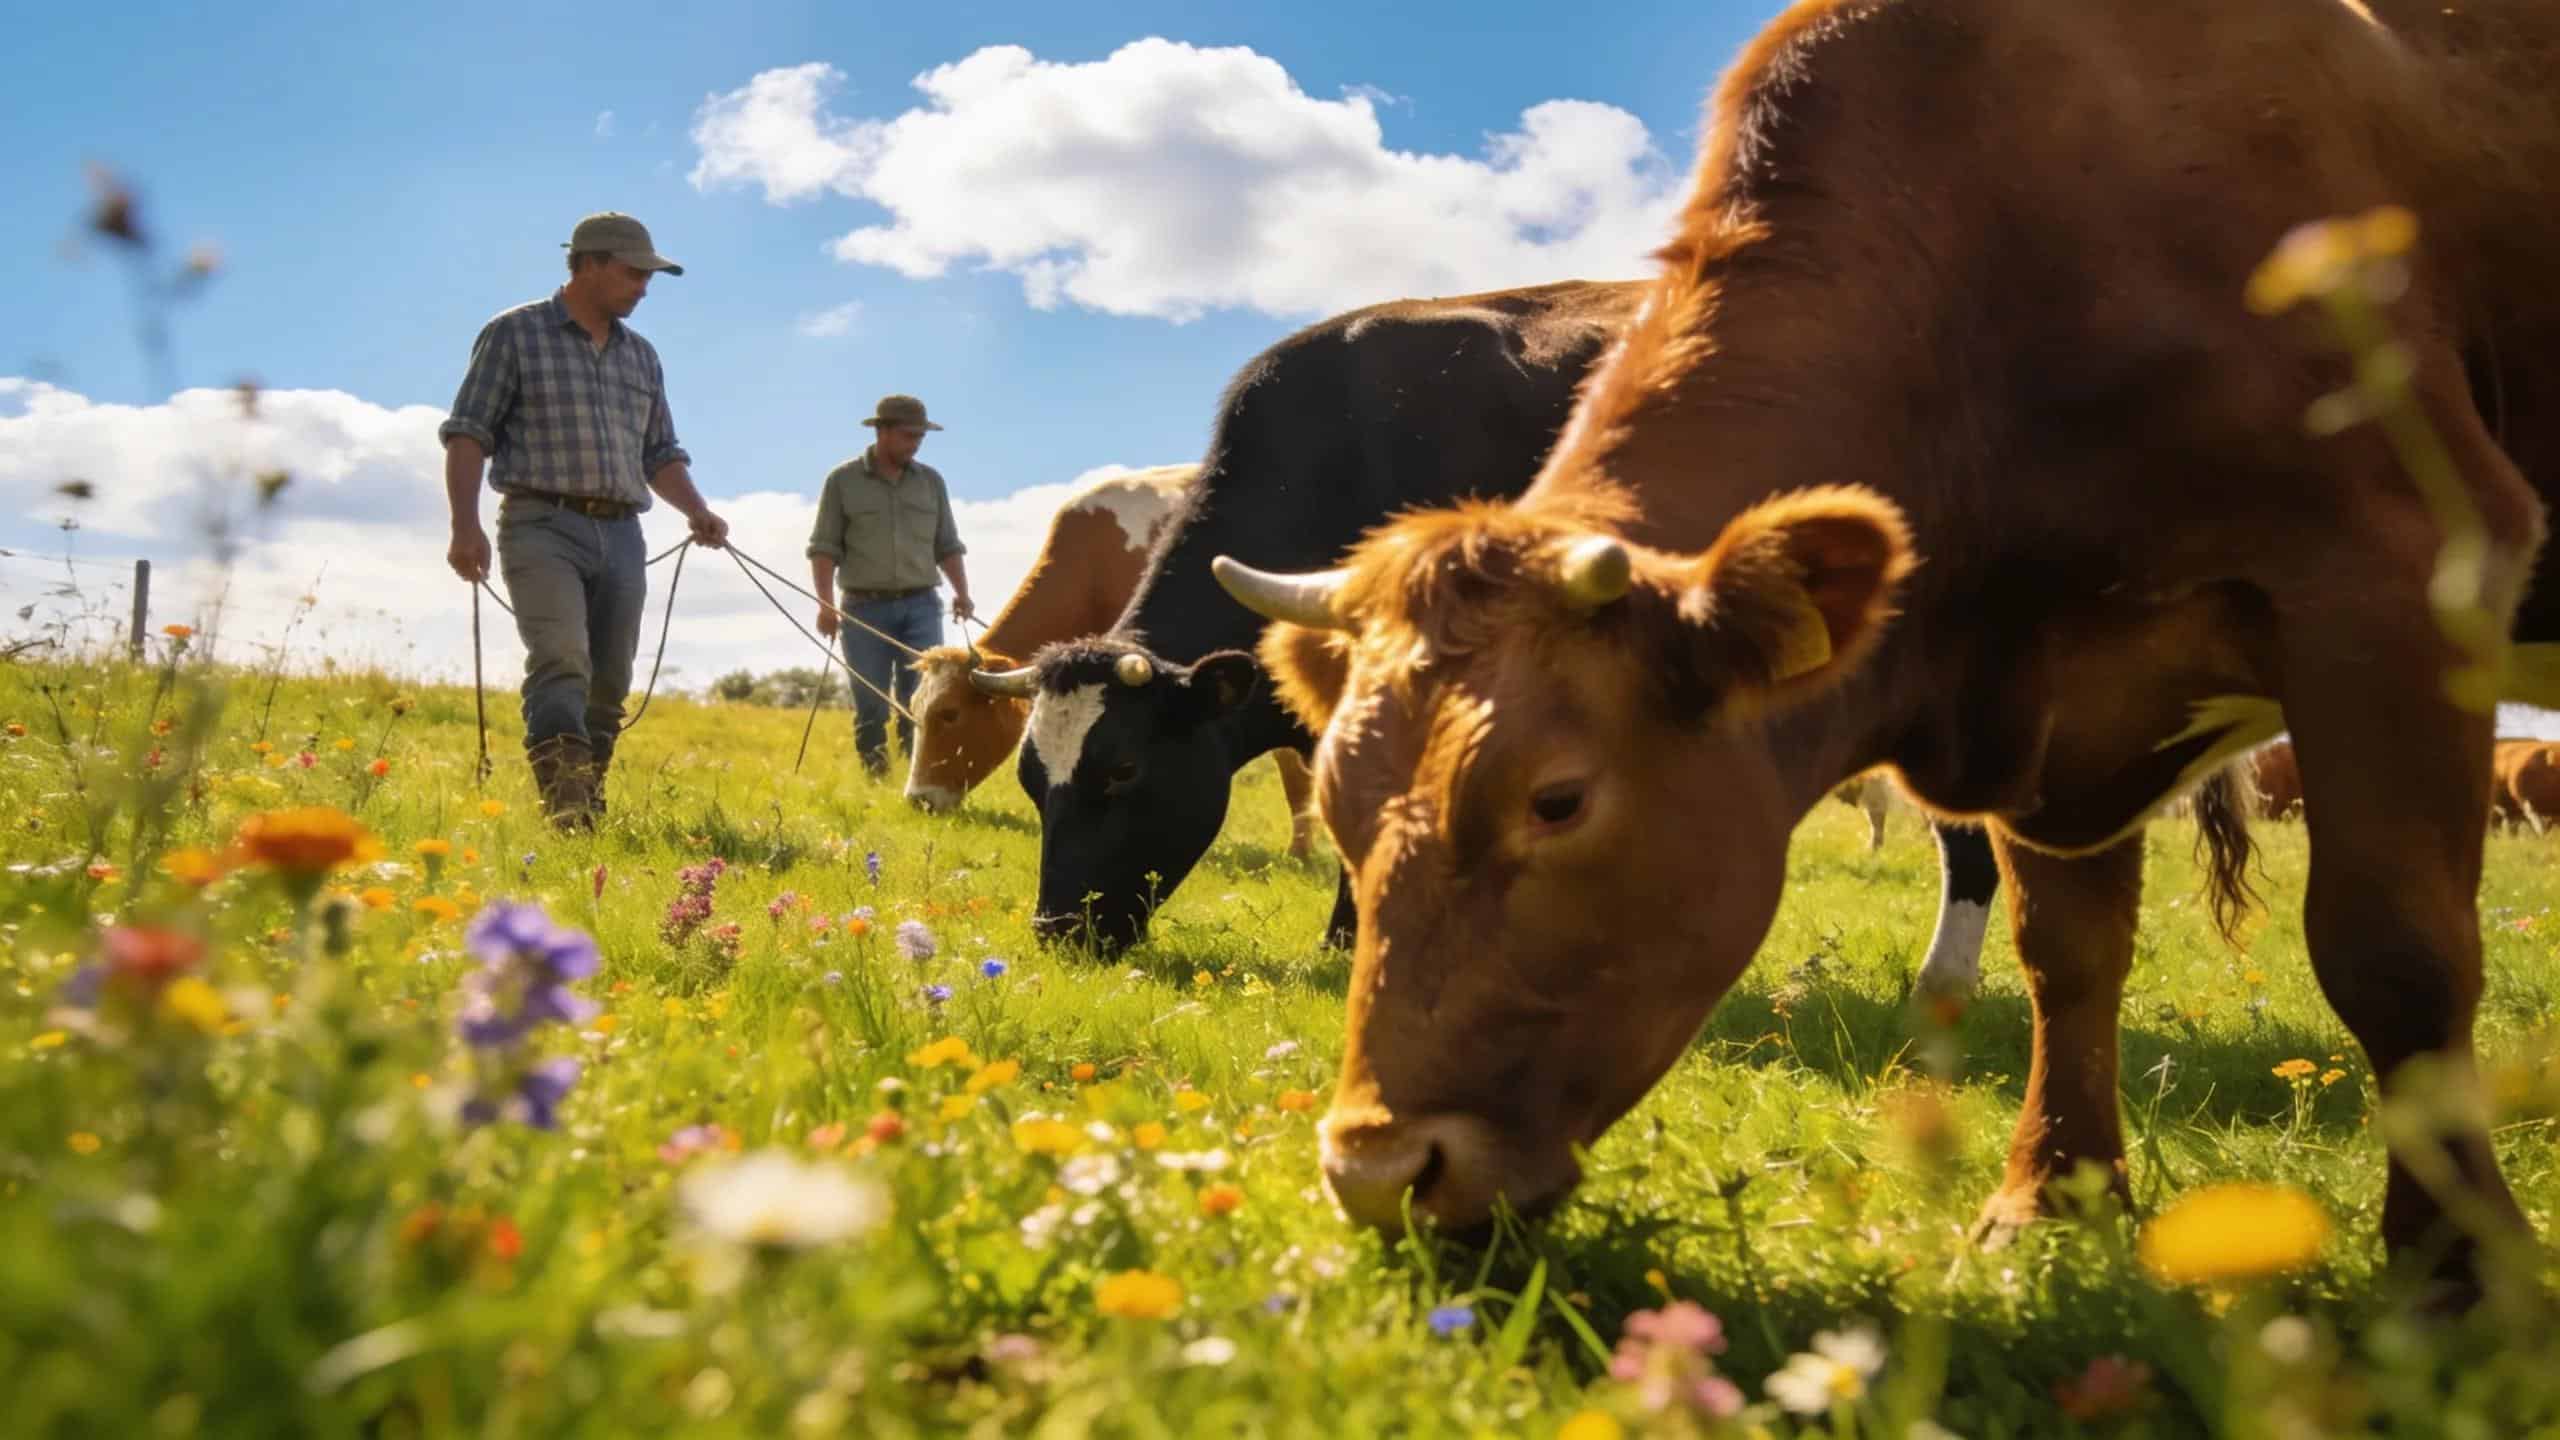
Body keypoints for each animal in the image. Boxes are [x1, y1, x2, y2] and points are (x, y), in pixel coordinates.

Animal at [1214, 0, 2560, 1301]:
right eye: (1339, 805)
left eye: (1556, 800)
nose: (1379, 1171)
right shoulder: (2054, 699)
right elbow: (2068, 957)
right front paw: (2044, 1202)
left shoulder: (2398, 580)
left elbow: (2395, 954)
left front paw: (2455, 1267)